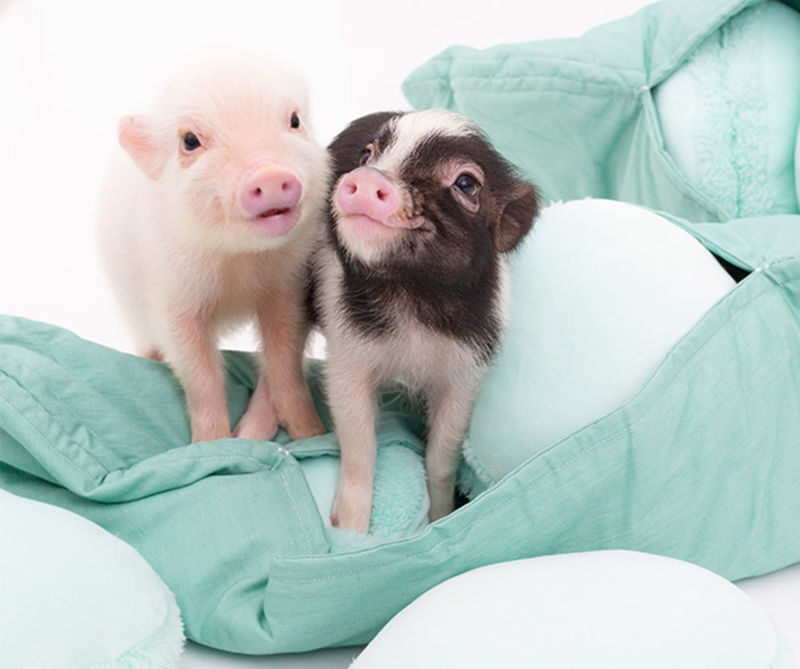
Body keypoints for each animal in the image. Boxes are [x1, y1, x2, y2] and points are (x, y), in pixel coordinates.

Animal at [98, 57, 330, 443]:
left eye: (295, 120)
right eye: (190, 140)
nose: (269, 174)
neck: (239, 264)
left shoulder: (288, 284)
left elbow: (283, 360)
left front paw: (310, 434)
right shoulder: (173, 300)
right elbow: (201, 375)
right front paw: (213, 444)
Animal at [311, 110, 540, 532]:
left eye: (466, 183)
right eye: (368, 155)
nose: (369, 177)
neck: (414, 299)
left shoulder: (467, 372)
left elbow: (443, 456)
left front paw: (440, 518)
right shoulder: (347, 354)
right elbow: (359, 447)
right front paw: (349, 531)